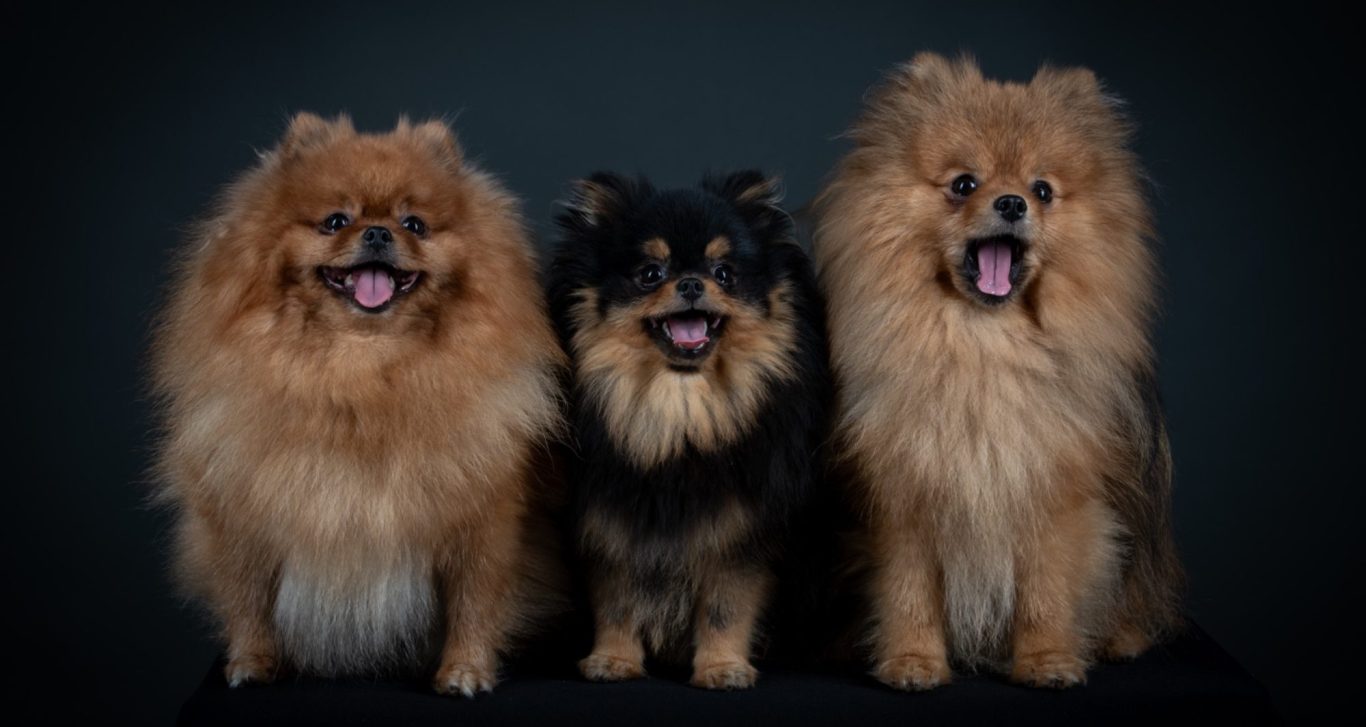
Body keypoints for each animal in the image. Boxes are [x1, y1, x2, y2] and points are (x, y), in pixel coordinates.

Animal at [153, 114, 565, 699]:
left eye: (414, 224)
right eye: (335, 221)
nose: (377, 232)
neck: (361, 370)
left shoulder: (483, 524)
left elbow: (475, 604)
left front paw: (464, 671)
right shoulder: (242, 518)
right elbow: (247, 600)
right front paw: (252, 663)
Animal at [546, 173, 830, 688]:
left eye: (724, 273)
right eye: (650, 274)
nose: (694, 282)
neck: (680, 409)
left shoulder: (740, 529)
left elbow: (726, 606)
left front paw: (722, 667)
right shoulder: (612, 521)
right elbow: (617, 600)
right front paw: (613, 660)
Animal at [808, 55, 1185, 686]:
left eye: (1042, 190)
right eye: (964, 184)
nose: (1011, 203)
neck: (983, 349)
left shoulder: (1053, 496)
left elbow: (1045, 592)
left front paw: (1046, 660)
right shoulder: (906, 500)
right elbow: (908, 592)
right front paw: (912, 661)